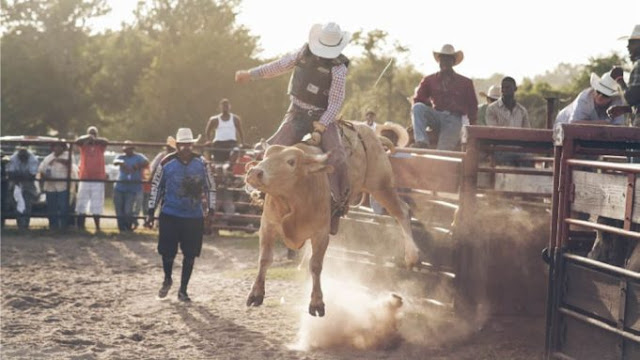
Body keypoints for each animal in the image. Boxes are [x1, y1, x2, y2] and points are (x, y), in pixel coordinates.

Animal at [245, 122, 420, 316]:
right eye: (265, 156)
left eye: (291, 161)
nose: (254, 172)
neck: (294, 199)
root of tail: (369, 131)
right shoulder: (267, 226)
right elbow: (265, 259)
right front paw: (255, 294)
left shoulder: (321, 233)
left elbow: (316, 265)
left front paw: (317, 303)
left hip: (381, 186)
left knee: (402, 211)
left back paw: (412, 255)